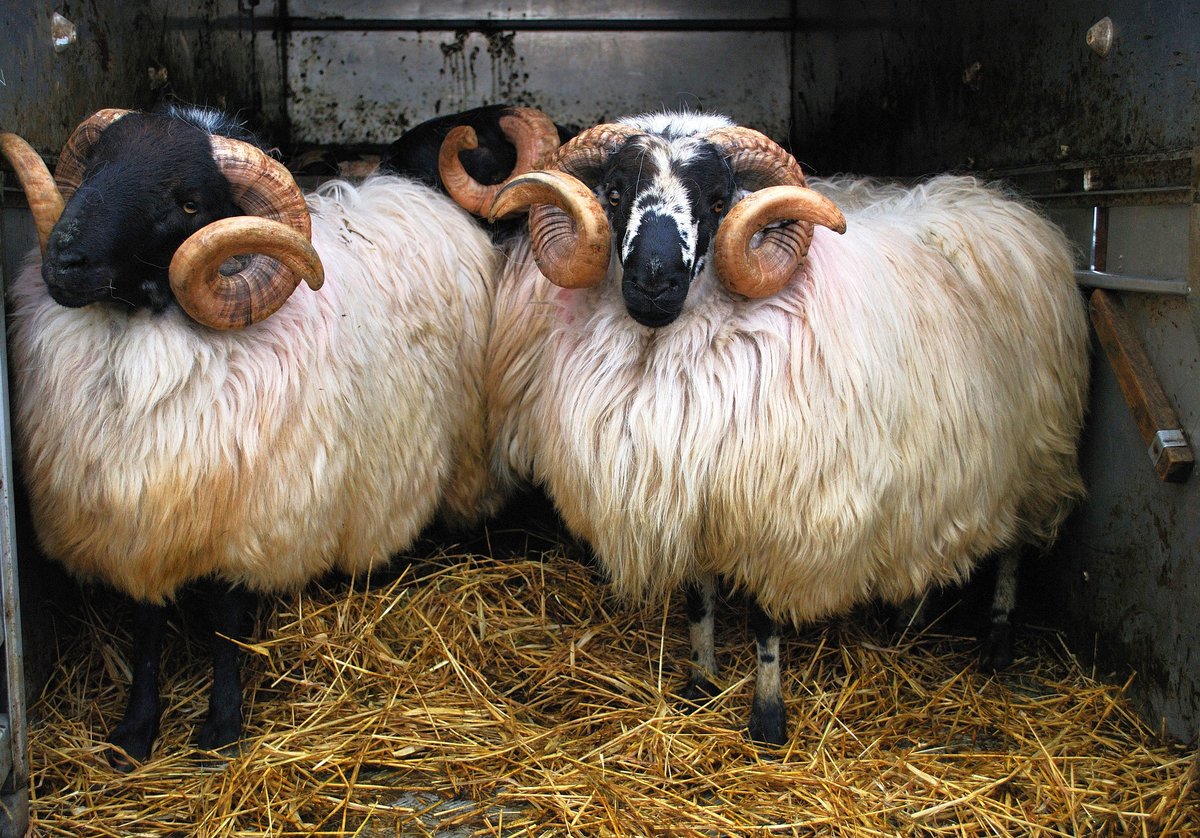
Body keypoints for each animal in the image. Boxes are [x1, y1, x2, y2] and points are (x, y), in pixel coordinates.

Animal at [0, 105, 501, 766]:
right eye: (96, 166)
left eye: (188, 202)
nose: (63, 260)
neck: (144, 346)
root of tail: (413, 191)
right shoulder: (137, 523)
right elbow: (145, 628)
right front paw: (135, 731)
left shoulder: (245, 522)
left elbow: (224, 623)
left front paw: (221, 727)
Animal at [467, 111, 1089, 745]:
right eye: (614, 193)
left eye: (718, 201)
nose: (653, 282)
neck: (669, 357)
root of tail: (993, 198)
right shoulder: (695, 499)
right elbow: (698, 603)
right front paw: (700, 685)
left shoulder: (773, 511)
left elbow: (765, 623)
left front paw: (767, 719)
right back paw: (904, 621)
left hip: (1037, 445)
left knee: (1014, 544)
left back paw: (998, 639)